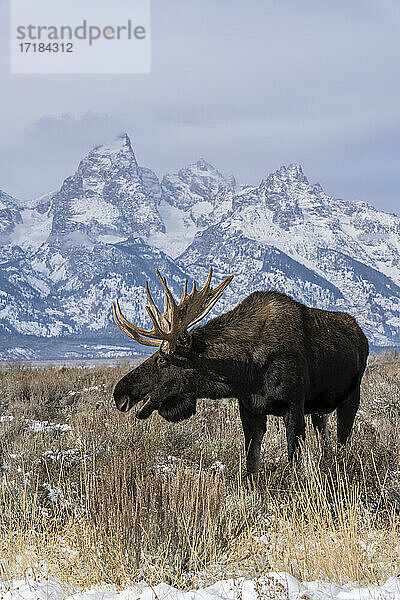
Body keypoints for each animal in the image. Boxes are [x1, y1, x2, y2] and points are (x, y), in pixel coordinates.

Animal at [112, 268, 368, 474]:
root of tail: (362, 335)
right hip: (319, 409)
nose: (120, 393)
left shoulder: (294, 405)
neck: (246, 371)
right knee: (326, 439)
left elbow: (293, 460)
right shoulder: (249, 408)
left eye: (163, 360)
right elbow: (251, 464)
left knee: (342, 441)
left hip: (351, 397)